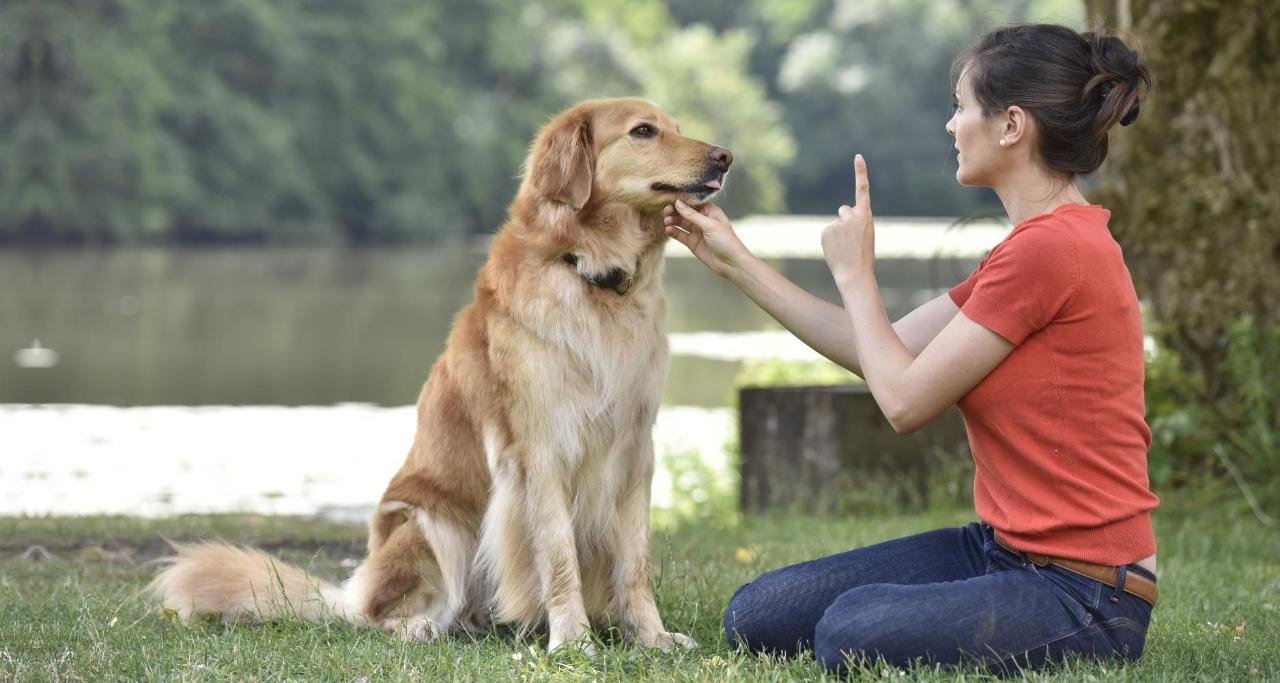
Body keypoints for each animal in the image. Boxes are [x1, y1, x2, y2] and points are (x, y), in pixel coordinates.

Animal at [152, 99, 732, 654]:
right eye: (643, 131)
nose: (725, 156)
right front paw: (572, 640)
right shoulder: (541, 450)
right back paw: (420, 627)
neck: (588, 272)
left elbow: (635, 561)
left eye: (675, 127)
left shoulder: (634, 449)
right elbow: (558, 553)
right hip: (430, 525)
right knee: (377, 615)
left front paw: (652, 637)